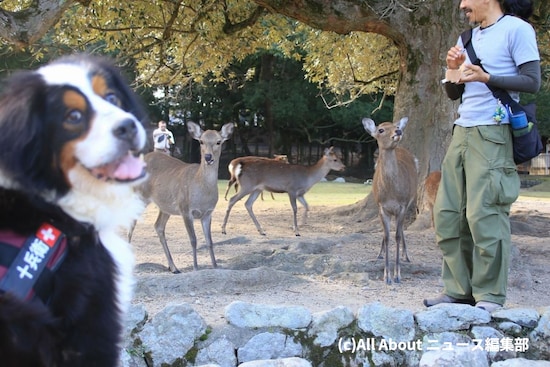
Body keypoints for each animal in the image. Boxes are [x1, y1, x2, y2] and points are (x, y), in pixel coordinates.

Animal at [130, 122, 235, 274]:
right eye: (201, 141)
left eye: (218, 141)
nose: (208, 157)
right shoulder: (185, 209)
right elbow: (193, 240)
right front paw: (196, 268)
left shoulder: (208, 213)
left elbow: (209, 241)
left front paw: (215, 266)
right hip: (139, 195)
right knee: (130, 223)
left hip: (166, 206)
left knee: (158, 226)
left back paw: (174, 267)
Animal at [362, 117, 418, 284]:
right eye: (381, 129)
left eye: (396, 126)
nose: (398, 131)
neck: (392, 193)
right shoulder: (382, 207)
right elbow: (387, 237)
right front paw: (386, 276)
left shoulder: (402, 205)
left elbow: (397, 236)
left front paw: (397, 275)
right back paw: (379, 254)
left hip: (409, 201)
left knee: (401, 230)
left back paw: (406, 256)